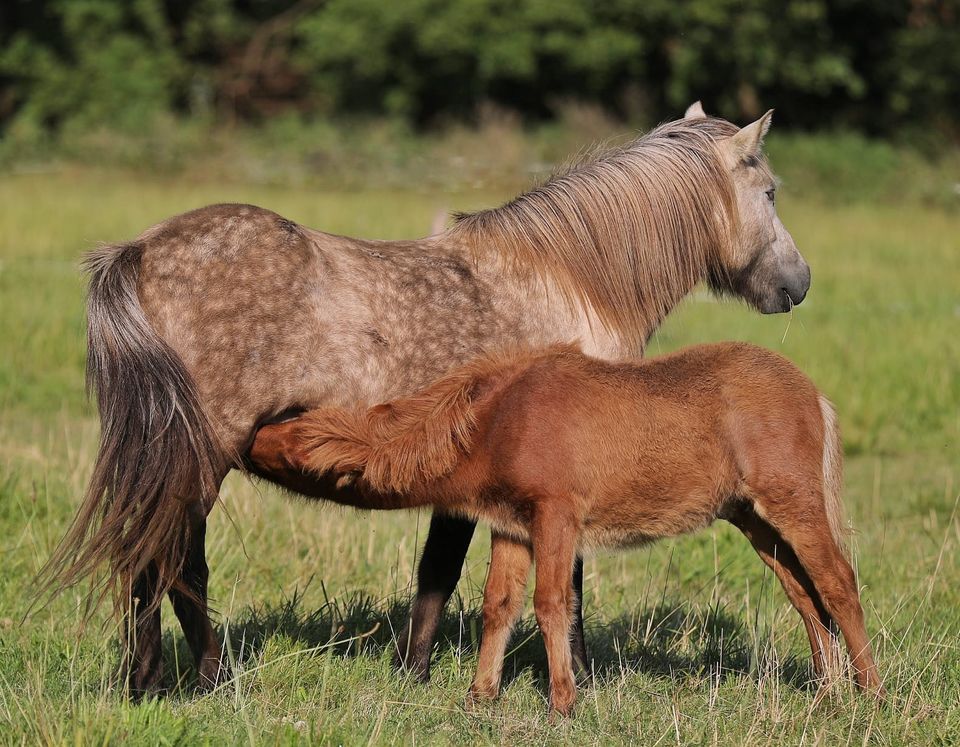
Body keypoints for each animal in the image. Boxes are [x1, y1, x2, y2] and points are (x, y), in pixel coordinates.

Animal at [249, 342, 884, 716]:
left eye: (292, 443)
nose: (245, 438)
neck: (496, 417)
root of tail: (812, 393)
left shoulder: (557, 517)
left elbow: (552, 602)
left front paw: (563, 701)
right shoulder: (513, 525)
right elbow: (499, 604)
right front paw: (481, 695)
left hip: (794, 507)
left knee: (837, 585)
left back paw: (871, 695)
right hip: (755, 520)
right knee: (803, 595)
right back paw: (828, 692)